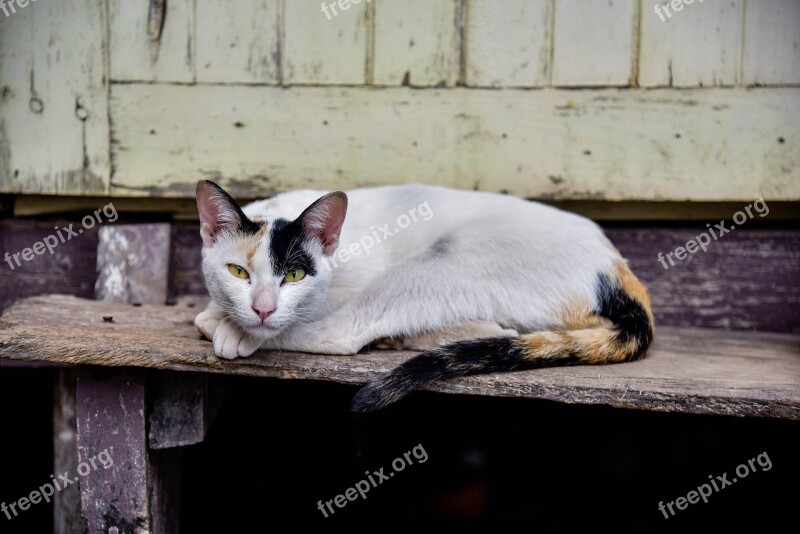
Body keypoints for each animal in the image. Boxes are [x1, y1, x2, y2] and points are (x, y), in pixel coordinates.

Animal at [195, 182, 656, 412]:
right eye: (238, 272)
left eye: (294, 275)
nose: (262, 308)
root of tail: (616, 267)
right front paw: (223, 311)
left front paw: (233, 326)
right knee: (503, 328)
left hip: (447, 255)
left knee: (344, 333)